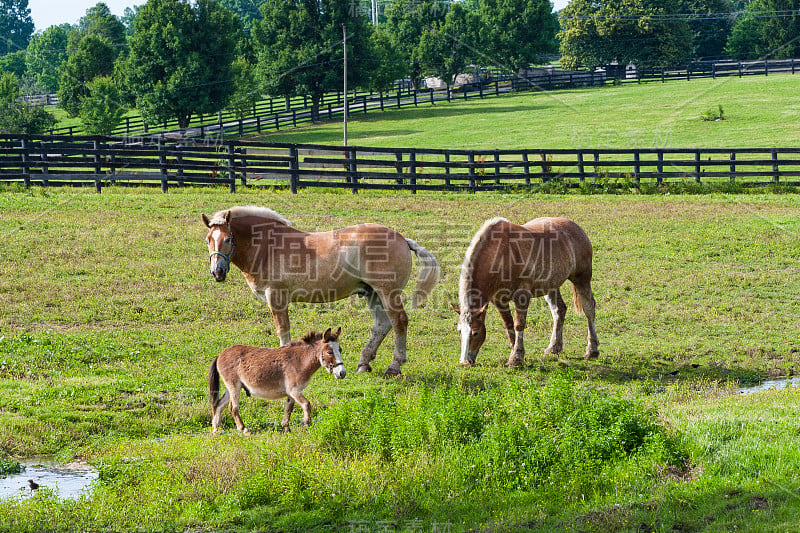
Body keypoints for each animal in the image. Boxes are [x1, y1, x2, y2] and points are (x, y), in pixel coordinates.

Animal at [200, 206, 438, 376]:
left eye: (228, 239)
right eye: (208, 240)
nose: (217, 272)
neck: (267, 245)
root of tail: (402, 239)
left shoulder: (276, 298)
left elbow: (283, 330)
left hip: (388, 293)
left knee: (399, 322)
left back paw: (394, 366)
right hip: (373, 294)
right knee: (381, 326)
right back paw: (363, 363)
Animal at [209, 326, 344, 434]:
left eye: (340, 350)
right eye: (329, 352)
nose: (342, 373)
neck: (299, 360)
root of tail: (220, 355)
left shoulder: (291, 392)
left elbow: (288, 409)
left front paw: (286, 428)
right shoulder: (293, 389)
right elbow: (307, 404)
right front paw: (307, 425)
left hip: (231, 387)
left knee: (219, 404)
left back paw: (216, 429)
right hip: (234, 386)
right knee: (233, 408)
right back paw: (244, 429)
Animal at [454, 216, 596, 366]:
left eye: (475, 333)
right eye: (459, 331)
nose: (464, 362)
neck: (503, 254)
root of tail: (577, 228)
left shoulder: (522, 296)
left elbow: (519, 325)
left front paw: (516, 358)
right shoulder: (499, 300)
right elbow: (509, 324)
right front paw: (514, 352)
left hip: (582, 279)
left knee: (589, 309)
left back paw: (592, 350)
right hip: (551, 286)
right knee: (559, 310)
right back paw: (553, 348)